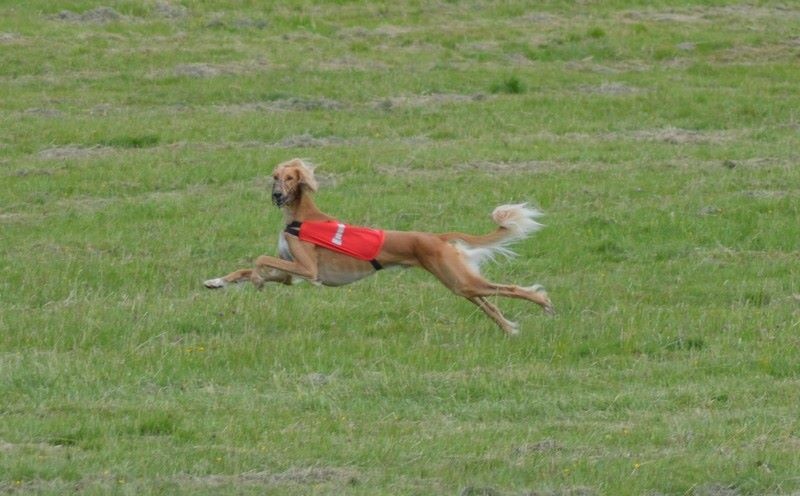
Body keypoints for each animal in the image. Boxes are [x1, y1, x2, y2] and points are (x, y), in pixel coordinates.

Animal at [204, 158, 553, 335]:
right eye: (274, 177)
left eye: (290, 178)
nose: (277, 195)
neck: (300, 216)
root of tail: (437, 237)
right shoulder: (291, 274)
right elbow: (246, 268)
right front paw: (216, 281)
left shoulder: (308, 269)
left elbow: (259, 260)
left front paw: (257, 280)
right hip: (458, 282)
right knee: (489, 302)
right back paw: (509, 327)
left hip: (457, 278)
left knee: (508, 289)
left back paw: (544, 302)